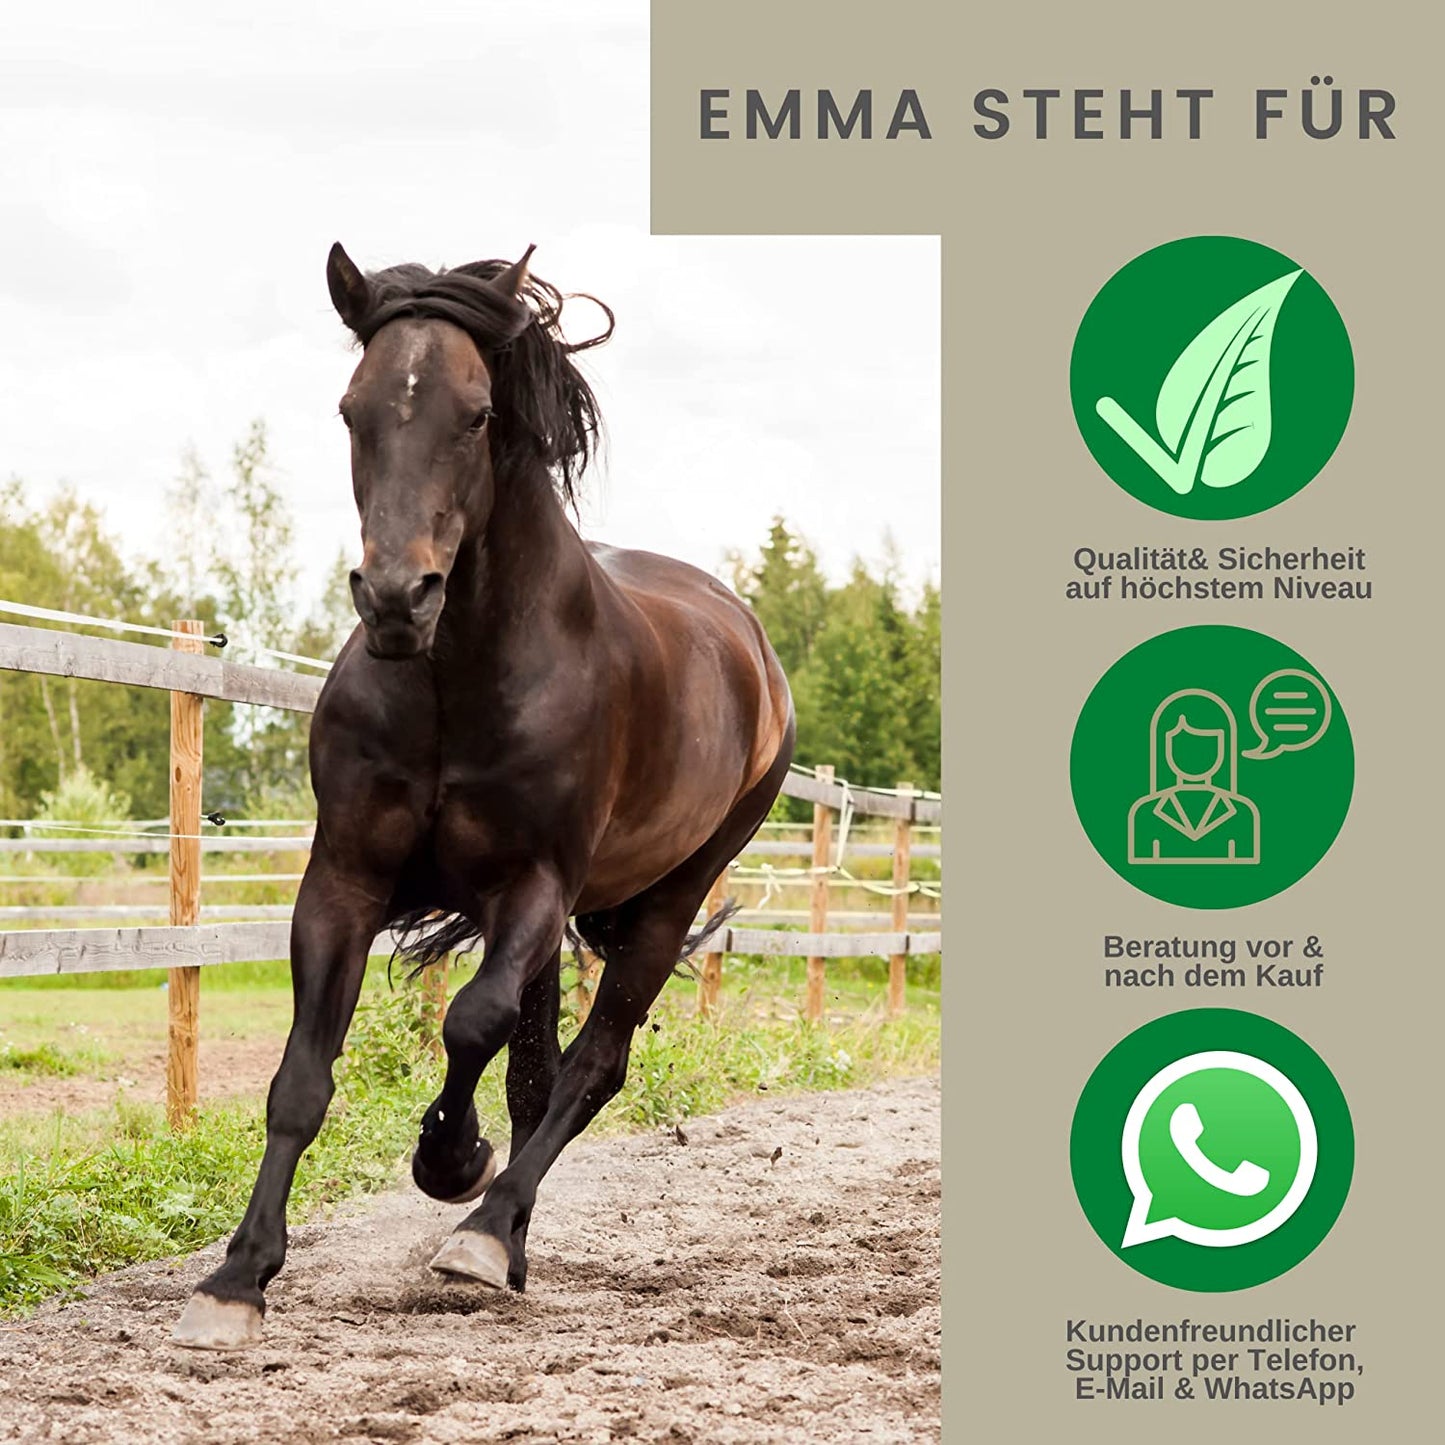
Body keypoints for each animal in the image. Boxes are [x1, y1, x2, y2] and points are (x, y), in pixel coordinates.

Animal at [171, 243, 795, 1349]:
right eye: (352, 410)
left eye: (474, 415)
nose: (394, 598)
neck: (460, 677)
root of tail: (751, 648)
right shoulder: (344, 877)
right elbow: (302, 1076)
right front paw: (237, 1277)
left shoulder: (534, 885)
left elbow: (469, 1022)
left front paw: (448, 1161)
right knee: (537, 1072)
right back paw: (510, 1242)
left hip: (671, 894)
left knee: (591, 1063)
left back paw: (482, 1229)